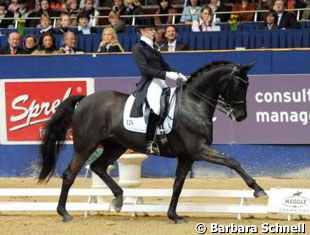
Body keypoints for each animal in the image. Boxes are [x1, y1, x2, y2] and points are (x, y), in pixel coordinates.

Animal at [38, 59, 266, 223]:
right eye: (239, 85)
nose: (241, 116)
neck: (193, 103)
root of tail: (84, 100)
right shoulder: (199, 149)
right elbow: (232, 161)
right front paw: (258, 189)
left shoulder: (187, 156)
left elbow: (178, 184)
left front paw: (174, 216)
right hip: (86, 145)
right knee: (70, 174)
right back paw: (65, 213)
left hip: (116, 146)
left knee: (98, 167)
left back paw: (119, 199)